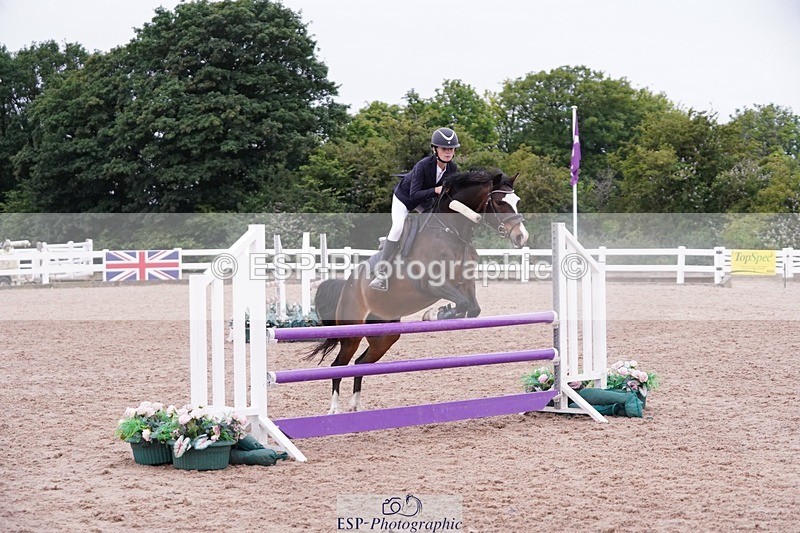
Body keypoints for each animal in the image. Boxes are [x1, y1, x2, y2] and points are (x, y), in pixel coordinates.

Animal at [307, 170, 529, 414]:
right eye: (500, 202)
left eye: (517, 201)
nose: (521, 237)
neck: (451, 231)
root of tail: (346, 287)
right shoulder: (432, 284)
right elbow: (462, 304)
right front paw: (435, 314)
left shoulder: (465, 283)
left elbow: (472, 308)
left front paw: (442, 312)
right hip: (351, 333)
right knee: (339, 365)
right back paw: (334, 409)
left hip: (385, 334)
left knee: (360, 364)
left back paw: (356, 405)